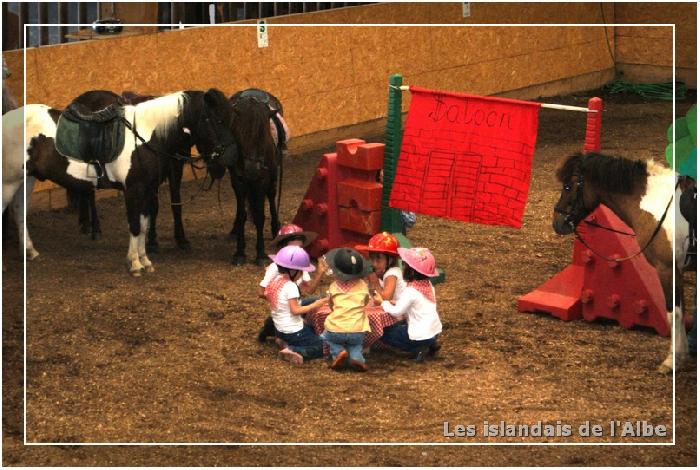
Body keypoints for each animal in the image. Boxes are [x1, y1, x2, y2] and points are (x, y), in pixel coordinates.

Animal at [556, 152, 692, 372]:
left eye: (568, 186)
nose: (557, 222)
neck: (657, 203)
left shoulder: (667, 270)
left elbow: (674, 314)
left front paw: (671, 361)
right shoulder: (677, 272)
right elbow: (681, 312)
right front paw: (682, 355)